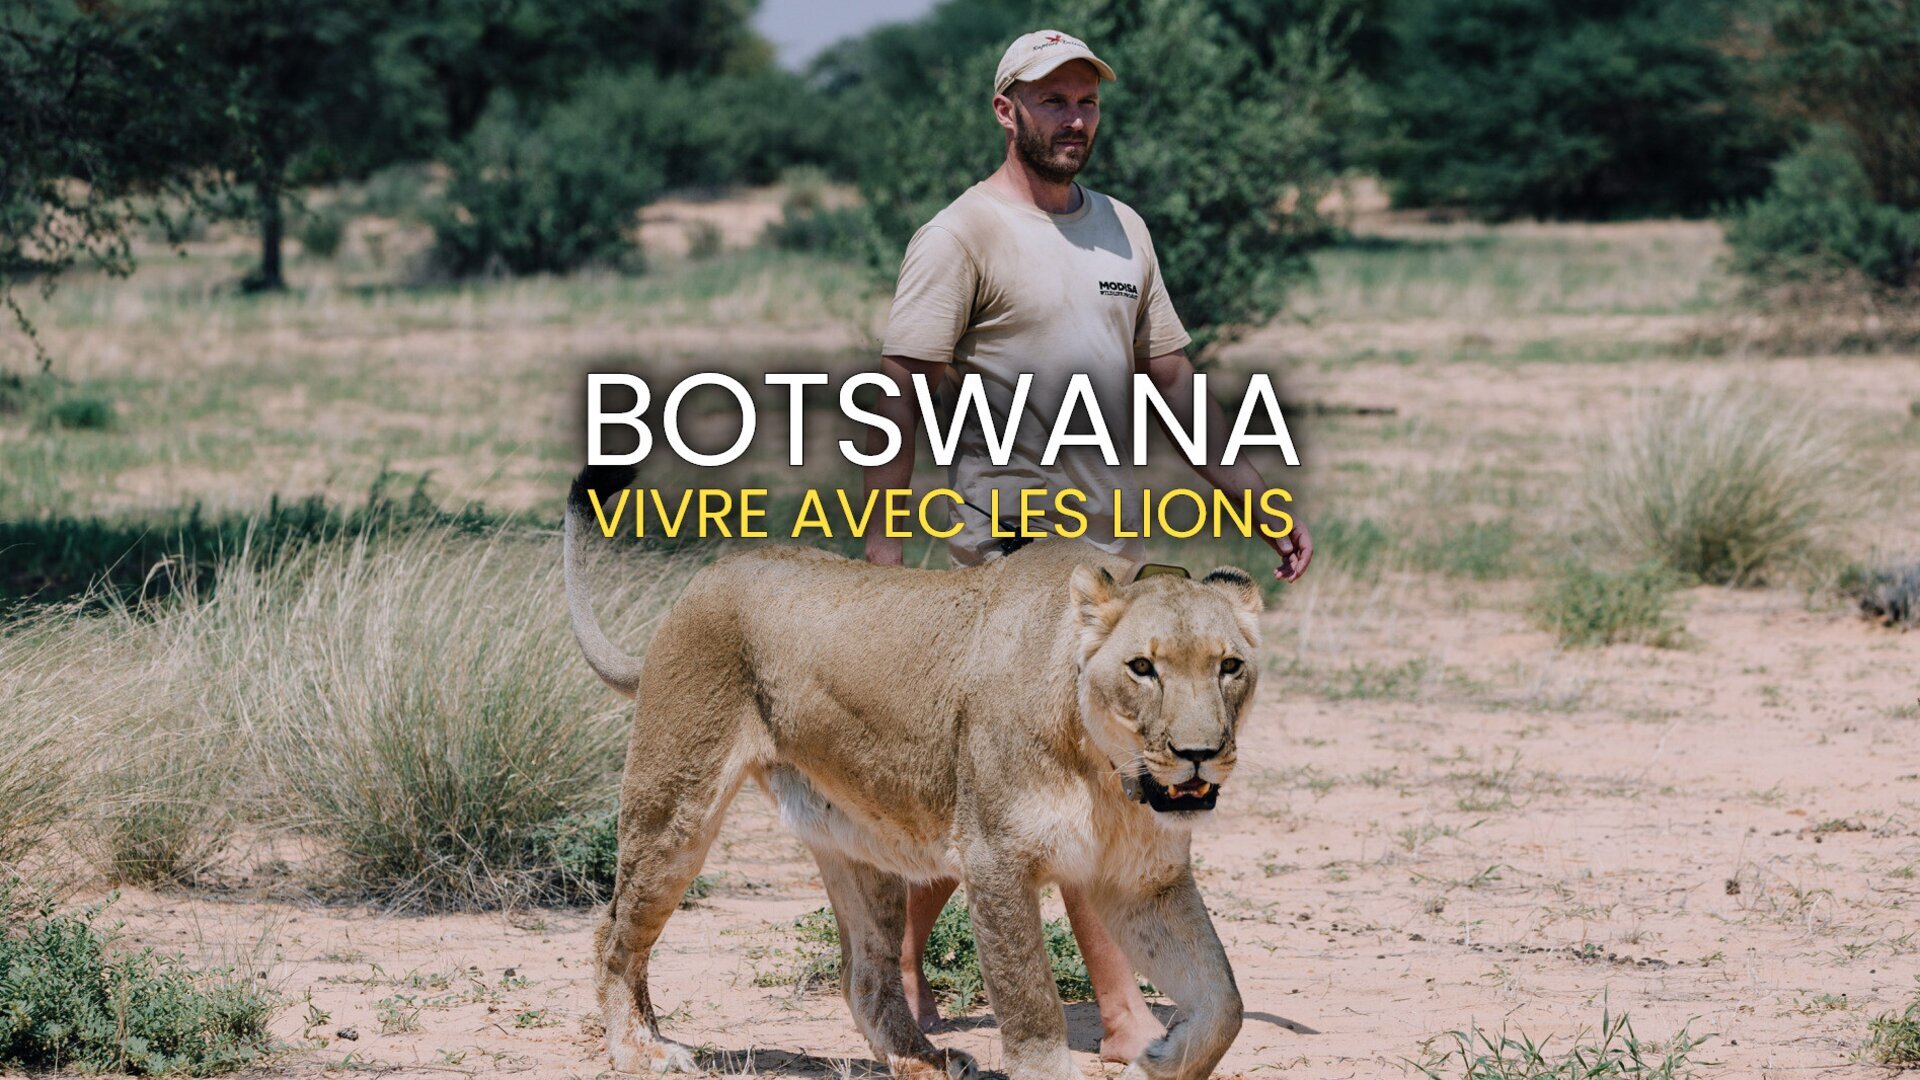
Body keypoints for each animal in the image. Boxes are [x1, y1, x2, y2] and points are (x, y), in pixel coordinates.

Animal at [563, 464, 1262, 1080]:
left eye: (1229, 666)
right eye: (1143, 667)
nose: (1198, 751)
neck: (1107, 774)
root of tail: (703, 578)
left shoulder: (1145, 880)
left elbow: (1225, 1000)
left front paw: (1157, 1061)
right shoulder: (994, 859)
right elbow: (1032, 1009)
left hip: (862, 850)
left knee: (864, 975)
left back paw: (923, 1060)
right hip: (675, 810)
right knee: (613, 935)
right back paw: (642, 1051)